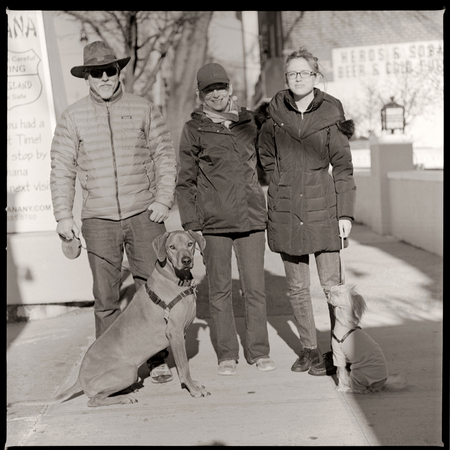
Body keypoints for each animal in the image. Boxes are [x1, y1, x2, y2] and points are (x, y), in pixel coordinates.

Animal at [7, 230, 210, 410]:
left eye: (190, 244)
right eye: (172, 247)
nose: (186, 260)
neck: (176, 279)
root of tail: (80, 378)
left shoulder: (180, 335)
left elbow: (183, 365)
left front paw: (191, 385)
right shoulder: (174, 333)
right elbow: (184, 367)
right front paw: (193, 389)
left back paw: (126, 393)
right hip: (127, 372)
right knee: (93, 400)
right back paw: (124, 398)